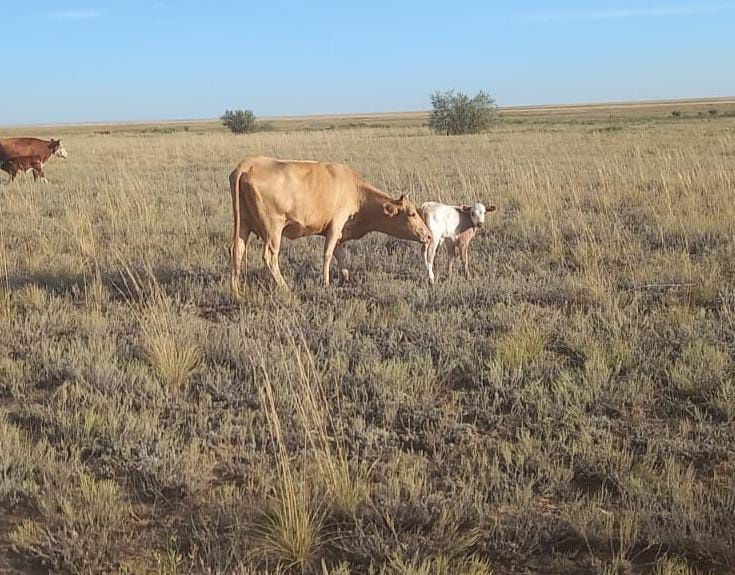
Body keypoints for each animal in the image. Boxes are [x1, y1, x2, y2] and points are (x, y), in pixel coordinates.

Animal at [229, 156, 432, 299]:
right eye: (412, 214)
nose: (429, 235)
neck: (357, 192)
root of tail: (247, 164)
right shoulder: (336, 224)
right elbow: (328, 253)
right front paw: (326, 282)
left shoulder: (341, 233)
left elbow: (341, 254)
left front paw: (346, 278)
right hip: (273, 229)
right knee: (270, 257)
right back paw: (285, 288)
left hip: (243, 225)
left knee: (237, 251)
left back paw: (236, 292)